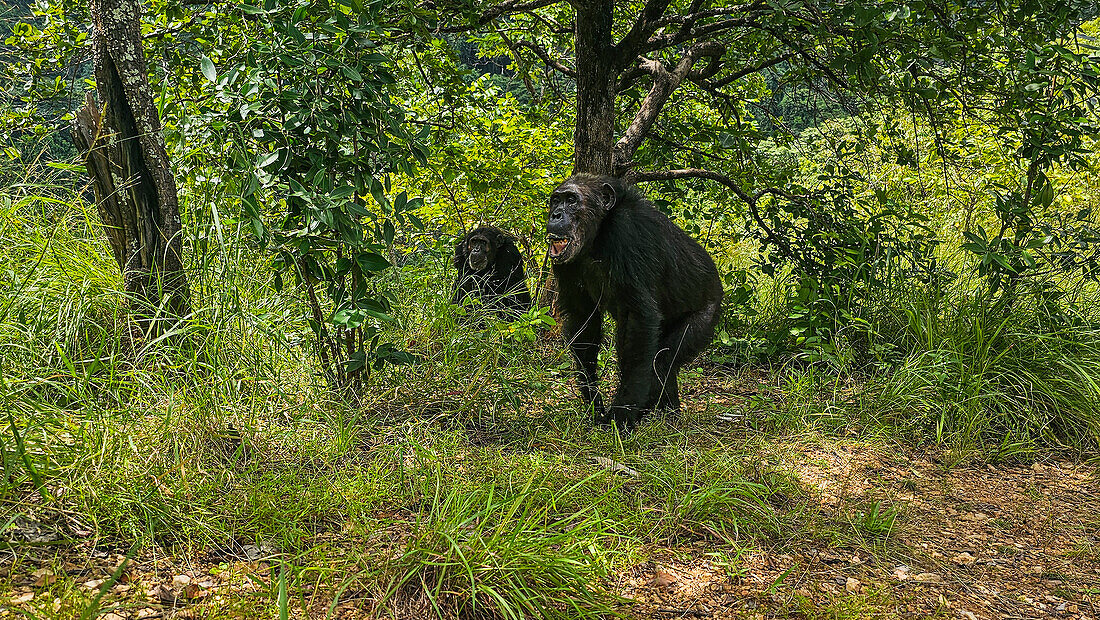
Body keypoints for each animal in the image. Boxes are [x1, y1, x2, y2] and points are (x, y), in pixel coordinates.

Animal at [547, 171, 721, 428]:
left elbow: (641, 316)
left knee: (660, 362)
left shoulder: (629, 234)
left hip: (707, 313)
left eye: (571, 200)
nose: (555, 214)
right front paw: (594, 402)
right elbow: (583, 319)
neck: (599, 233)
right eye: (556, 200)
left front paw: (621, 415)